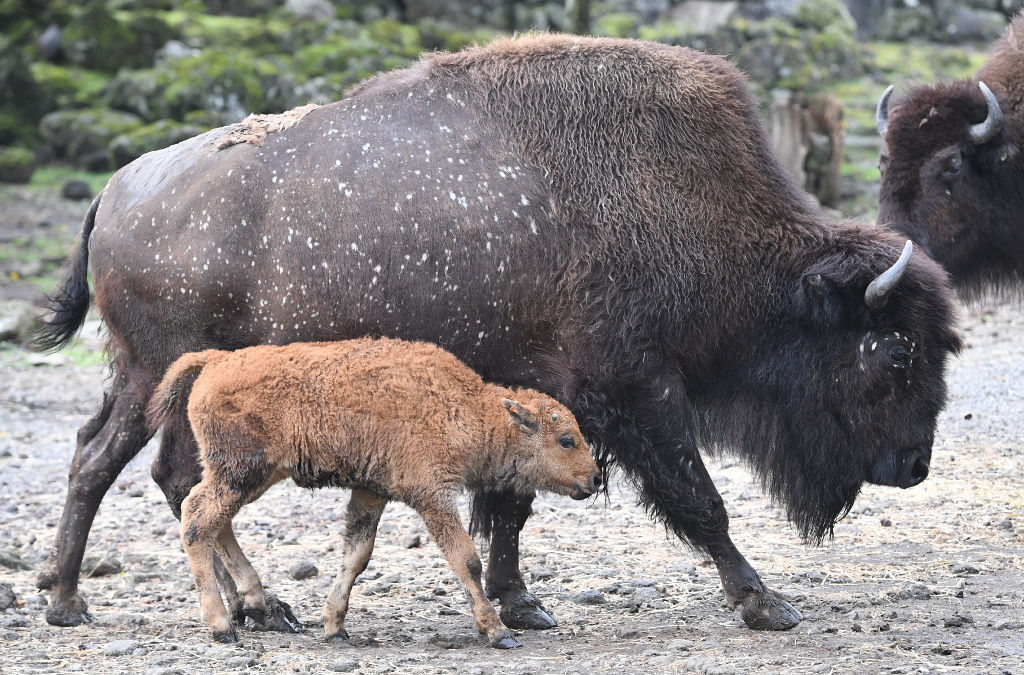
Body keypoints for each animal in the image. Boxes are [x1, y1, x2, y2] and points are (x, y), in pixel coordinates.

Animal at [148, 338, 602, 651]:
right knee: (197, 518)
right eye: (566, 440)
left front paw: (334, 626)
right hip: (241, 473)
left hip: (247, 477)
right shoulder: (433, 496)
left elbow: (357, 554)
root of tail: (217, 360)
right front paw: (498, 632)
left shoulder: (371, 492)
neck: (468, 408)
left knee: (212, 522)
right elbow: (465, 559)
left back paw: (256, 606)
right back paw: (222, 628)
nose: (595, 478)